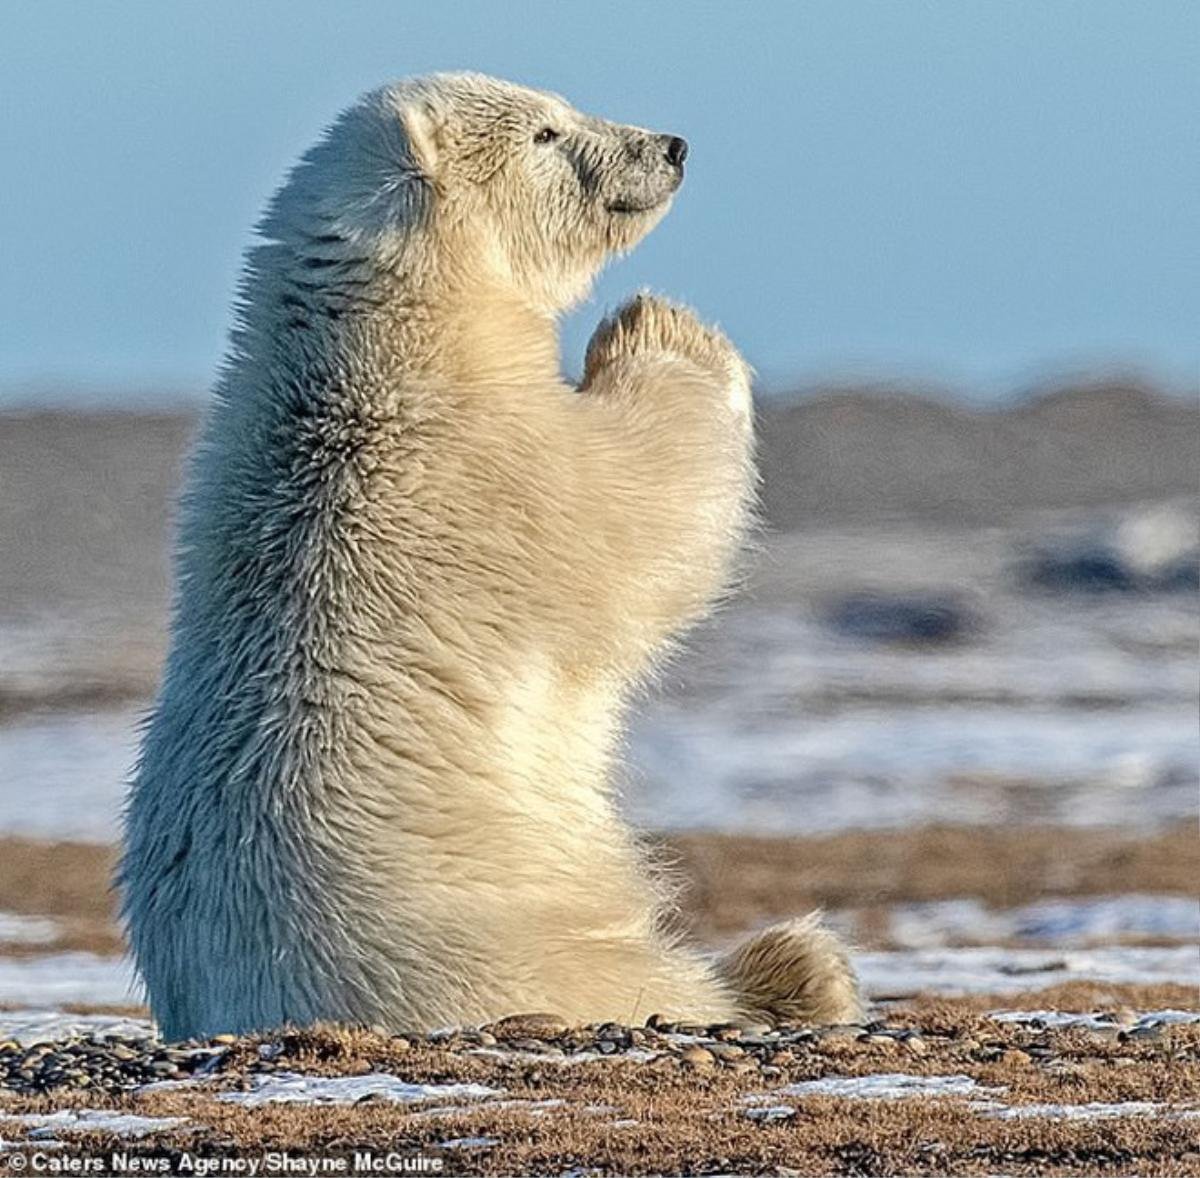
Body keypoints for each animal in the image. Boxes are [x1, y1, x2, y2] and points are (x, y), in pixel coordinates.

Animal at [119, 71, 864, 1041]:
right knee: (639, 982)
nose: (670, 146)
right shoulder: (490, 470)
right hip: (503, 943)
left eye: (562, 107)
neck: (394, 342)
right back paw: (795, 969)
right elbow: (646, 508)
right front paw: (658, 325)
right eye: (546, 132)